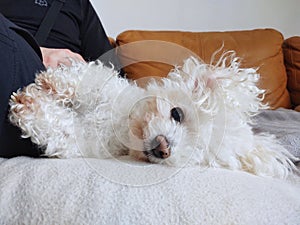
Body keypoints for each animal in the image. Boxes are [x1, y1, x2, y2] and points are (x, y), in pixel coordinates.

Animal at [9, 53, 298, 178]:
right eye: (176, 113)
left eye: (195, 154)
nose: (162, 149)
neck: (122, 126)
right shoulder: (106, 87)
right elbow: (86, 79)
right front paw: (52, 82)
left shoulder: (87, 140)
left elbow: (62, 131)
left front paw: (30, 104)